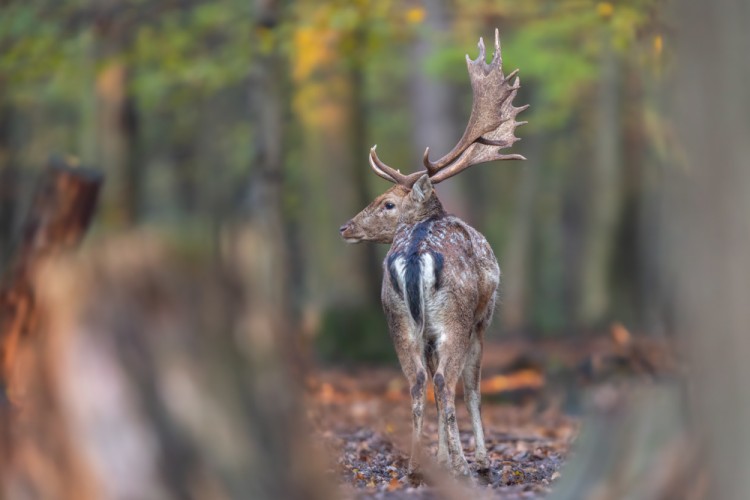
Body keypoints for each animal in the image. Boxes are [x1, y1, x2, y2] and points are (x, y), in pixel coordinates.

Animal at [340, 30, 528, 476]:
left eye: (388, 203)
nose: (345, 227)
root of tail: (413, 256)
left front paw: (440, 457)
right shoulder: (483, 316)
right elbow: (474, 387)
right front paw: (479, 458)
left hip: (397, 320)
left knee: (416, 380)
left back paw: (413, 464)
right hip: (454, 319)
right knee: (446, 380)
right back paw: (463, 464)